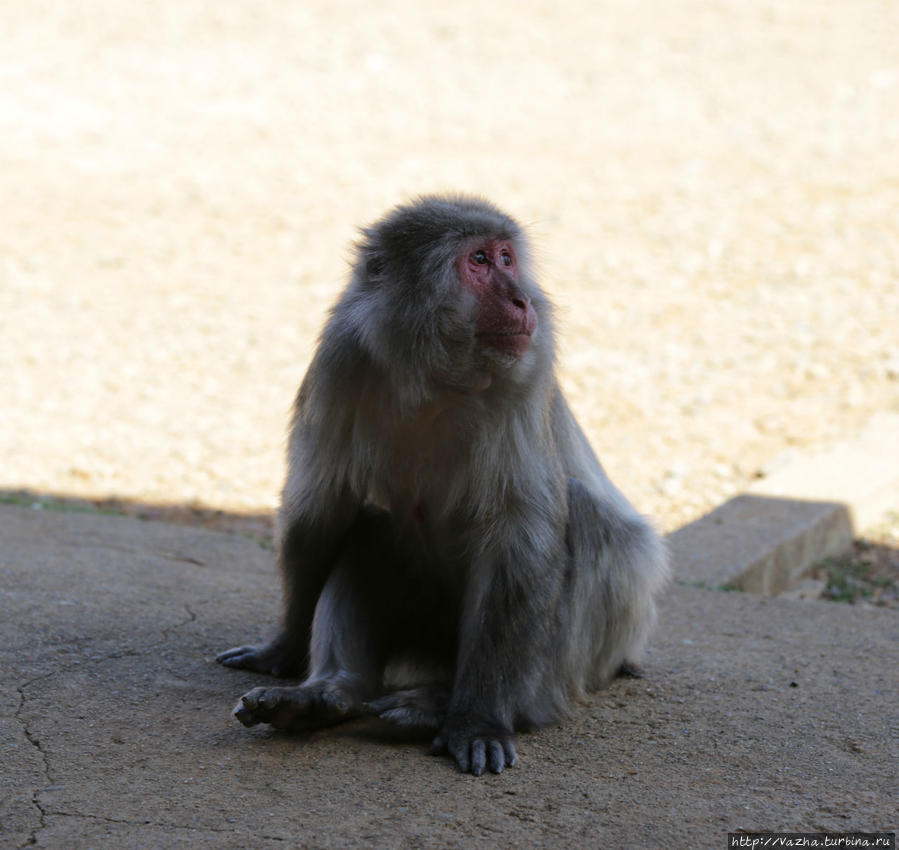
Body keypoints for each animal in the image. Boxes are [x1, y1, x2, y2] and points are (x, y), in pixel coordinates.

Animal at [218, 194, 668, 776]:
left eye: (506, 258)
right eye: (478, 260)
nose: (523, 299)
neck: (434, 376)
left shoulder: (527, 367)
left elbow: (519, 535)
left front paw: (478, 718)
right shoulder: (340, 358)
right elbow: (319, 511)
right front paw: (284, 648)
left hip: (601, 639)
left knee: (586, 518)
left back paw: (457, 706)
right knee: (372, 524)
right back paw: (330, 694)